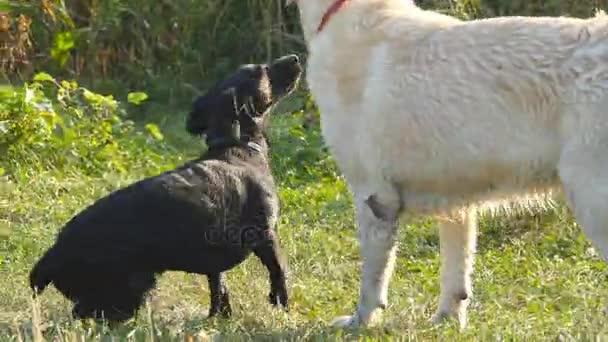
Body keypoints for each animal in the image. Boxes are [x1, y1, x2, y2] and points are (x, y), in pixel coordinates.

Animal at [29, 54, 302, 322]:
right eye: (261, 70)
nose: (296, 58)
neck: (238, 147)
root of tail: (52, 254)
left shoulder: (215, 261)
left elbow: (219, 287)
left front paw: (219, 318)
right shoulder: (265, 235)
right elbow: (279, 273)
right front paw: (282, 307)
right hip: (127, 290)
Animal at [288, 0, 608, 328]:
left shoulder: (373, 195)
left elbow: (372, 279)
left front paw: (359, 322)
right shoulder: (457, 202)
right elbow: (456, 273)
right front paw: (447, 320)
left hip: (592, 199)